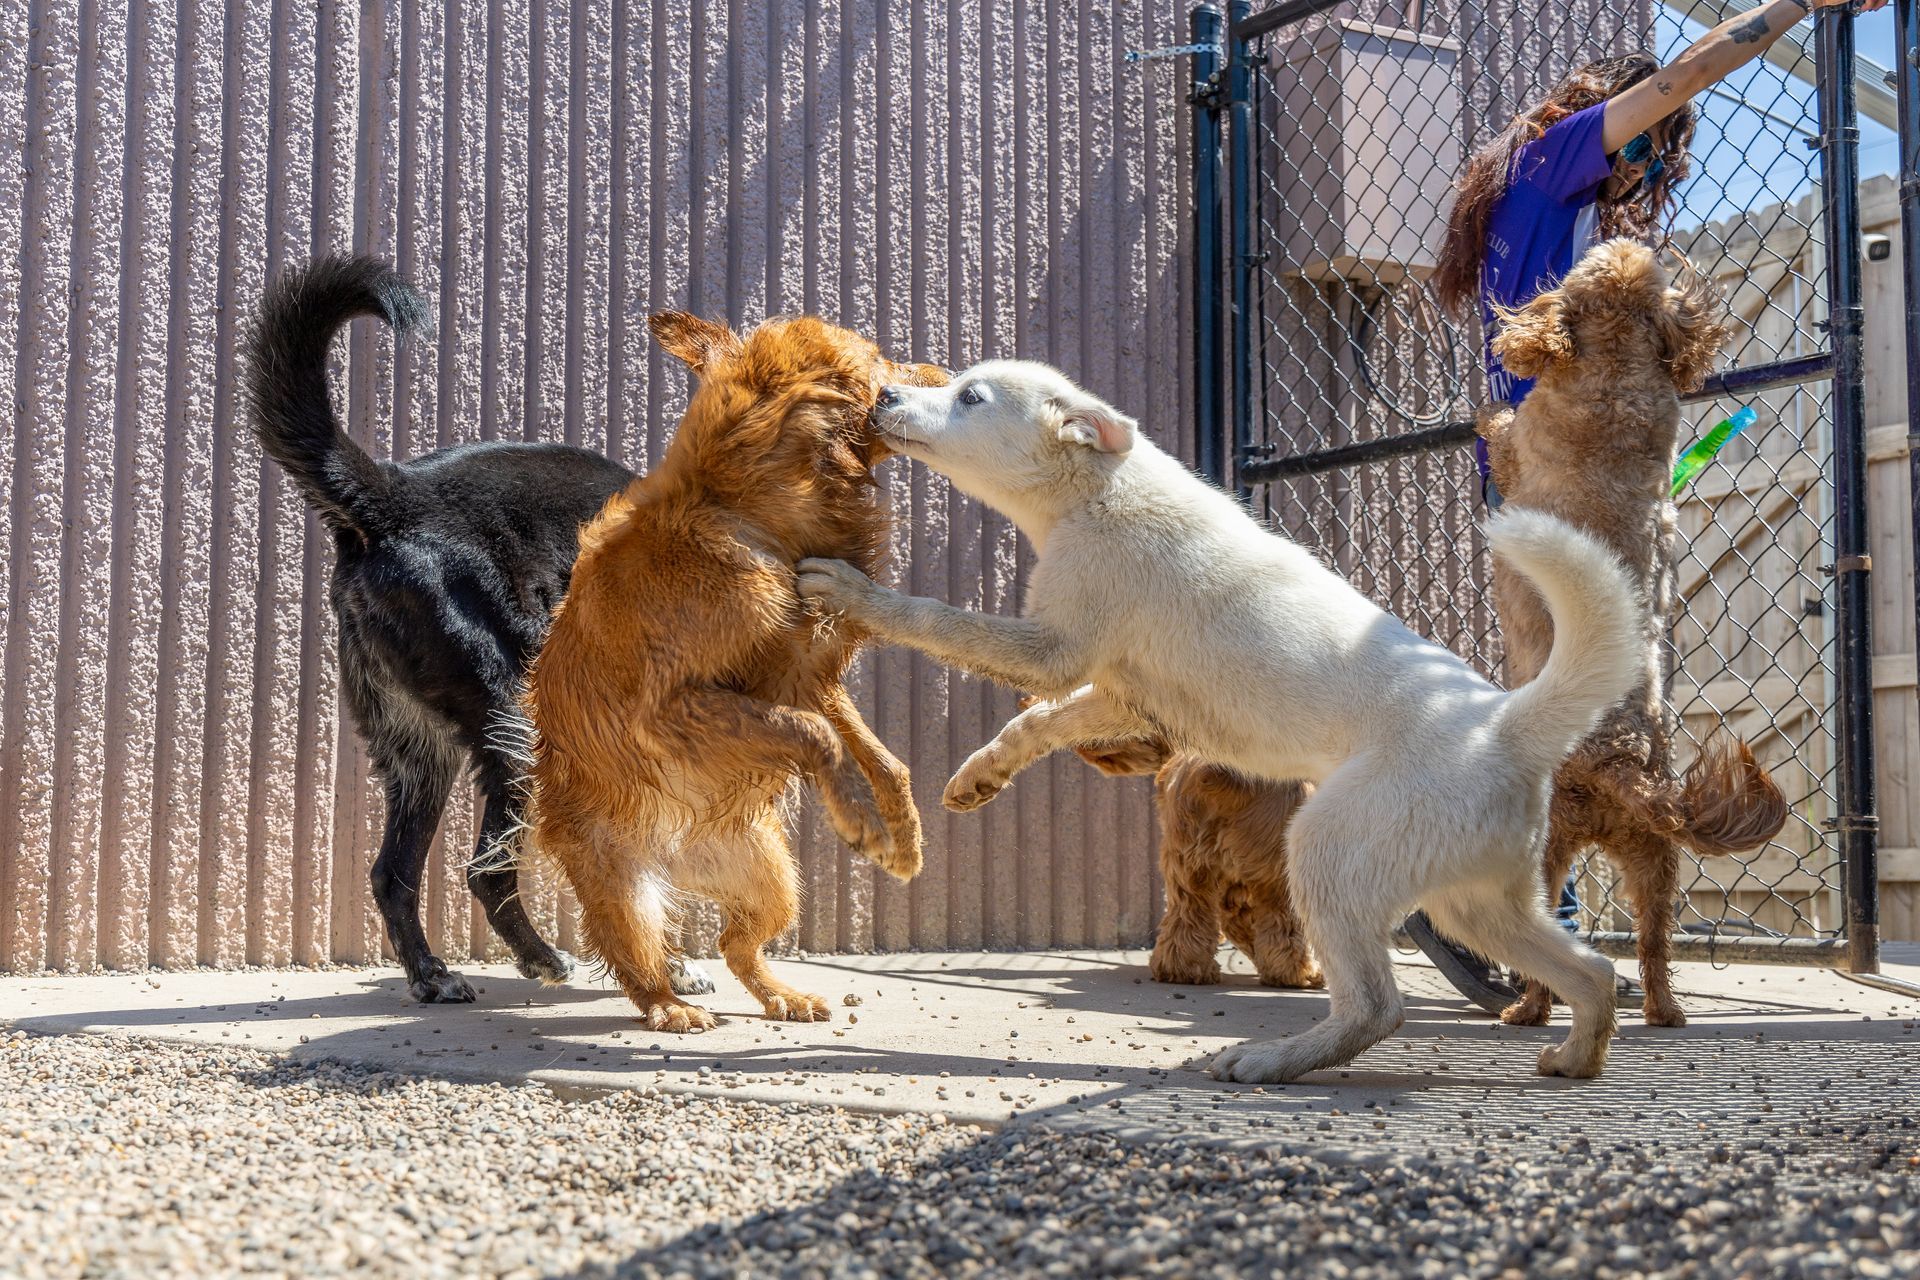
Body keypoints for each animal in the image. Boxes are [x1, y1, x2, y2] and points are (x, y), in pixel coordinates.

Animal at [243, 257, 633, 997]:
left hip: (418, 751)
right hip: (515, 725)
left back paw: (430, 976)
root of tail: (394, 494)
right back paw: (540, 958)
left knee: (391, 873)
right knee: (484, 871)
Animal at [526, 314, 944, 1036]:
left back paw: (785, 996)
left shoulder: (807, 673)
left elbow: (882, 759)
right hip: (622, 885)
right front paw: (860, 822)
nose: (945, 370)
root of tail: (674, 857)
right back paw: (672, 1006)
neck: (749, 515)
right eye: (881, 359)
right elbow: (814, 737)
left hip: (773, 878)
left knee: (733, 943)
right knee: (638, 960)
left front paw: (903, 841)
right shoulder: (675, 705)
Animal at [1075, 729, 1328, 990]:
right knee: (1280, 918)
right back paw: (1297, 972)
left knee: (1189, 910)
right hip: (1267, 863)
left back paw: (1181, 969)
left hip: (1189, 857)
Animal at [1474, 235, 1789, 1028]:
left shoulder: (1521, 448)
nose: (1620, 234)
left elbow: (1501, 433)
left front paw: (1486, 409)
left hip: (1547, 848)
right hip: (1657, 862)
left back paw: (1528, 1011)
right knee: (1651, 945)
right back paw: (1666, 1010)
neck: (1617, 367)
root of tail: (1624, 761)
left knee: (1547, 944)